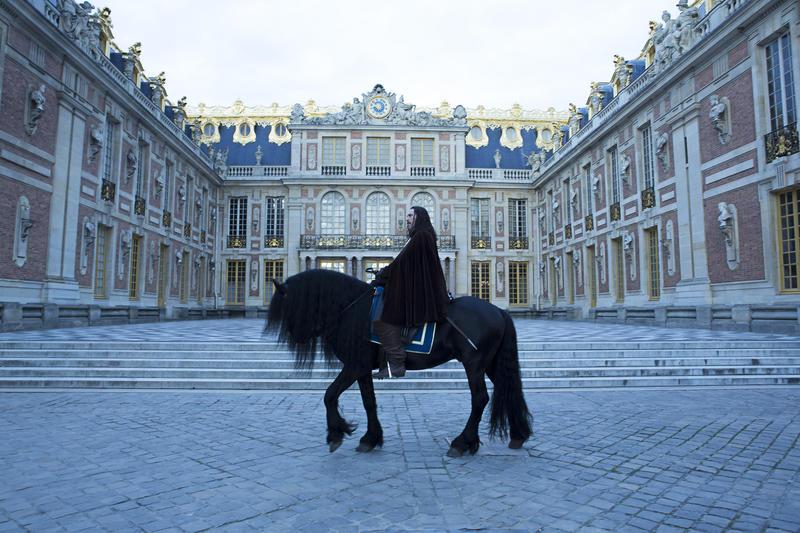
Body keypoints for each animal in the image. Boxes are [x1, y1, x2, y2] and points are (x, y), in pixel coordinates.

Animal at [266, 270, 536, 458]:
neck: (351, 309)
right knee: (507, 389)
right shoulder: (362, 368)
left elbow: (329, 394)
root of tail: (499, 311)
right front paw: (370, 438)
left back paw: (461, 443)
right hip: (490, 363)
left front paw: (336, 434)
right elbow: (369, 402)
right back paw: (517, 435)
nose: (297, 337)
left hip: (474, 363)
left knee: (480, 399)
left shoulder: (354, 365)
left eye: (287, 307)